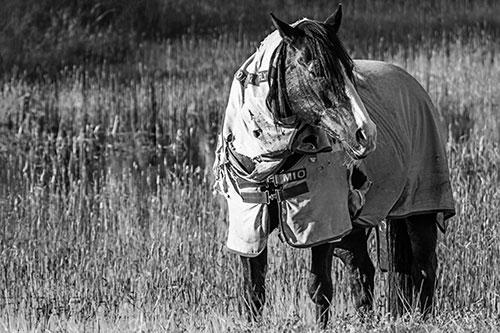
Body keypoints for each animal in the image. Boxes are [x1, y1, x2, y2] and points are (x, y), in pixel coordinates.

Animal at [213, 4, 456, 326]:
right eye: (317, 70)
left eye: (350, 70)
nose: (366, 133)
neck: (273, 161)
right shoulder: (250, 227)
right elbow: (253, 292)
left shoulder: (323, 226)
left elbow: (319, 288)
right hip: (353, 230)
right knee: (362, 271)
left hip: (419, 212)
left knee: (425, 267)